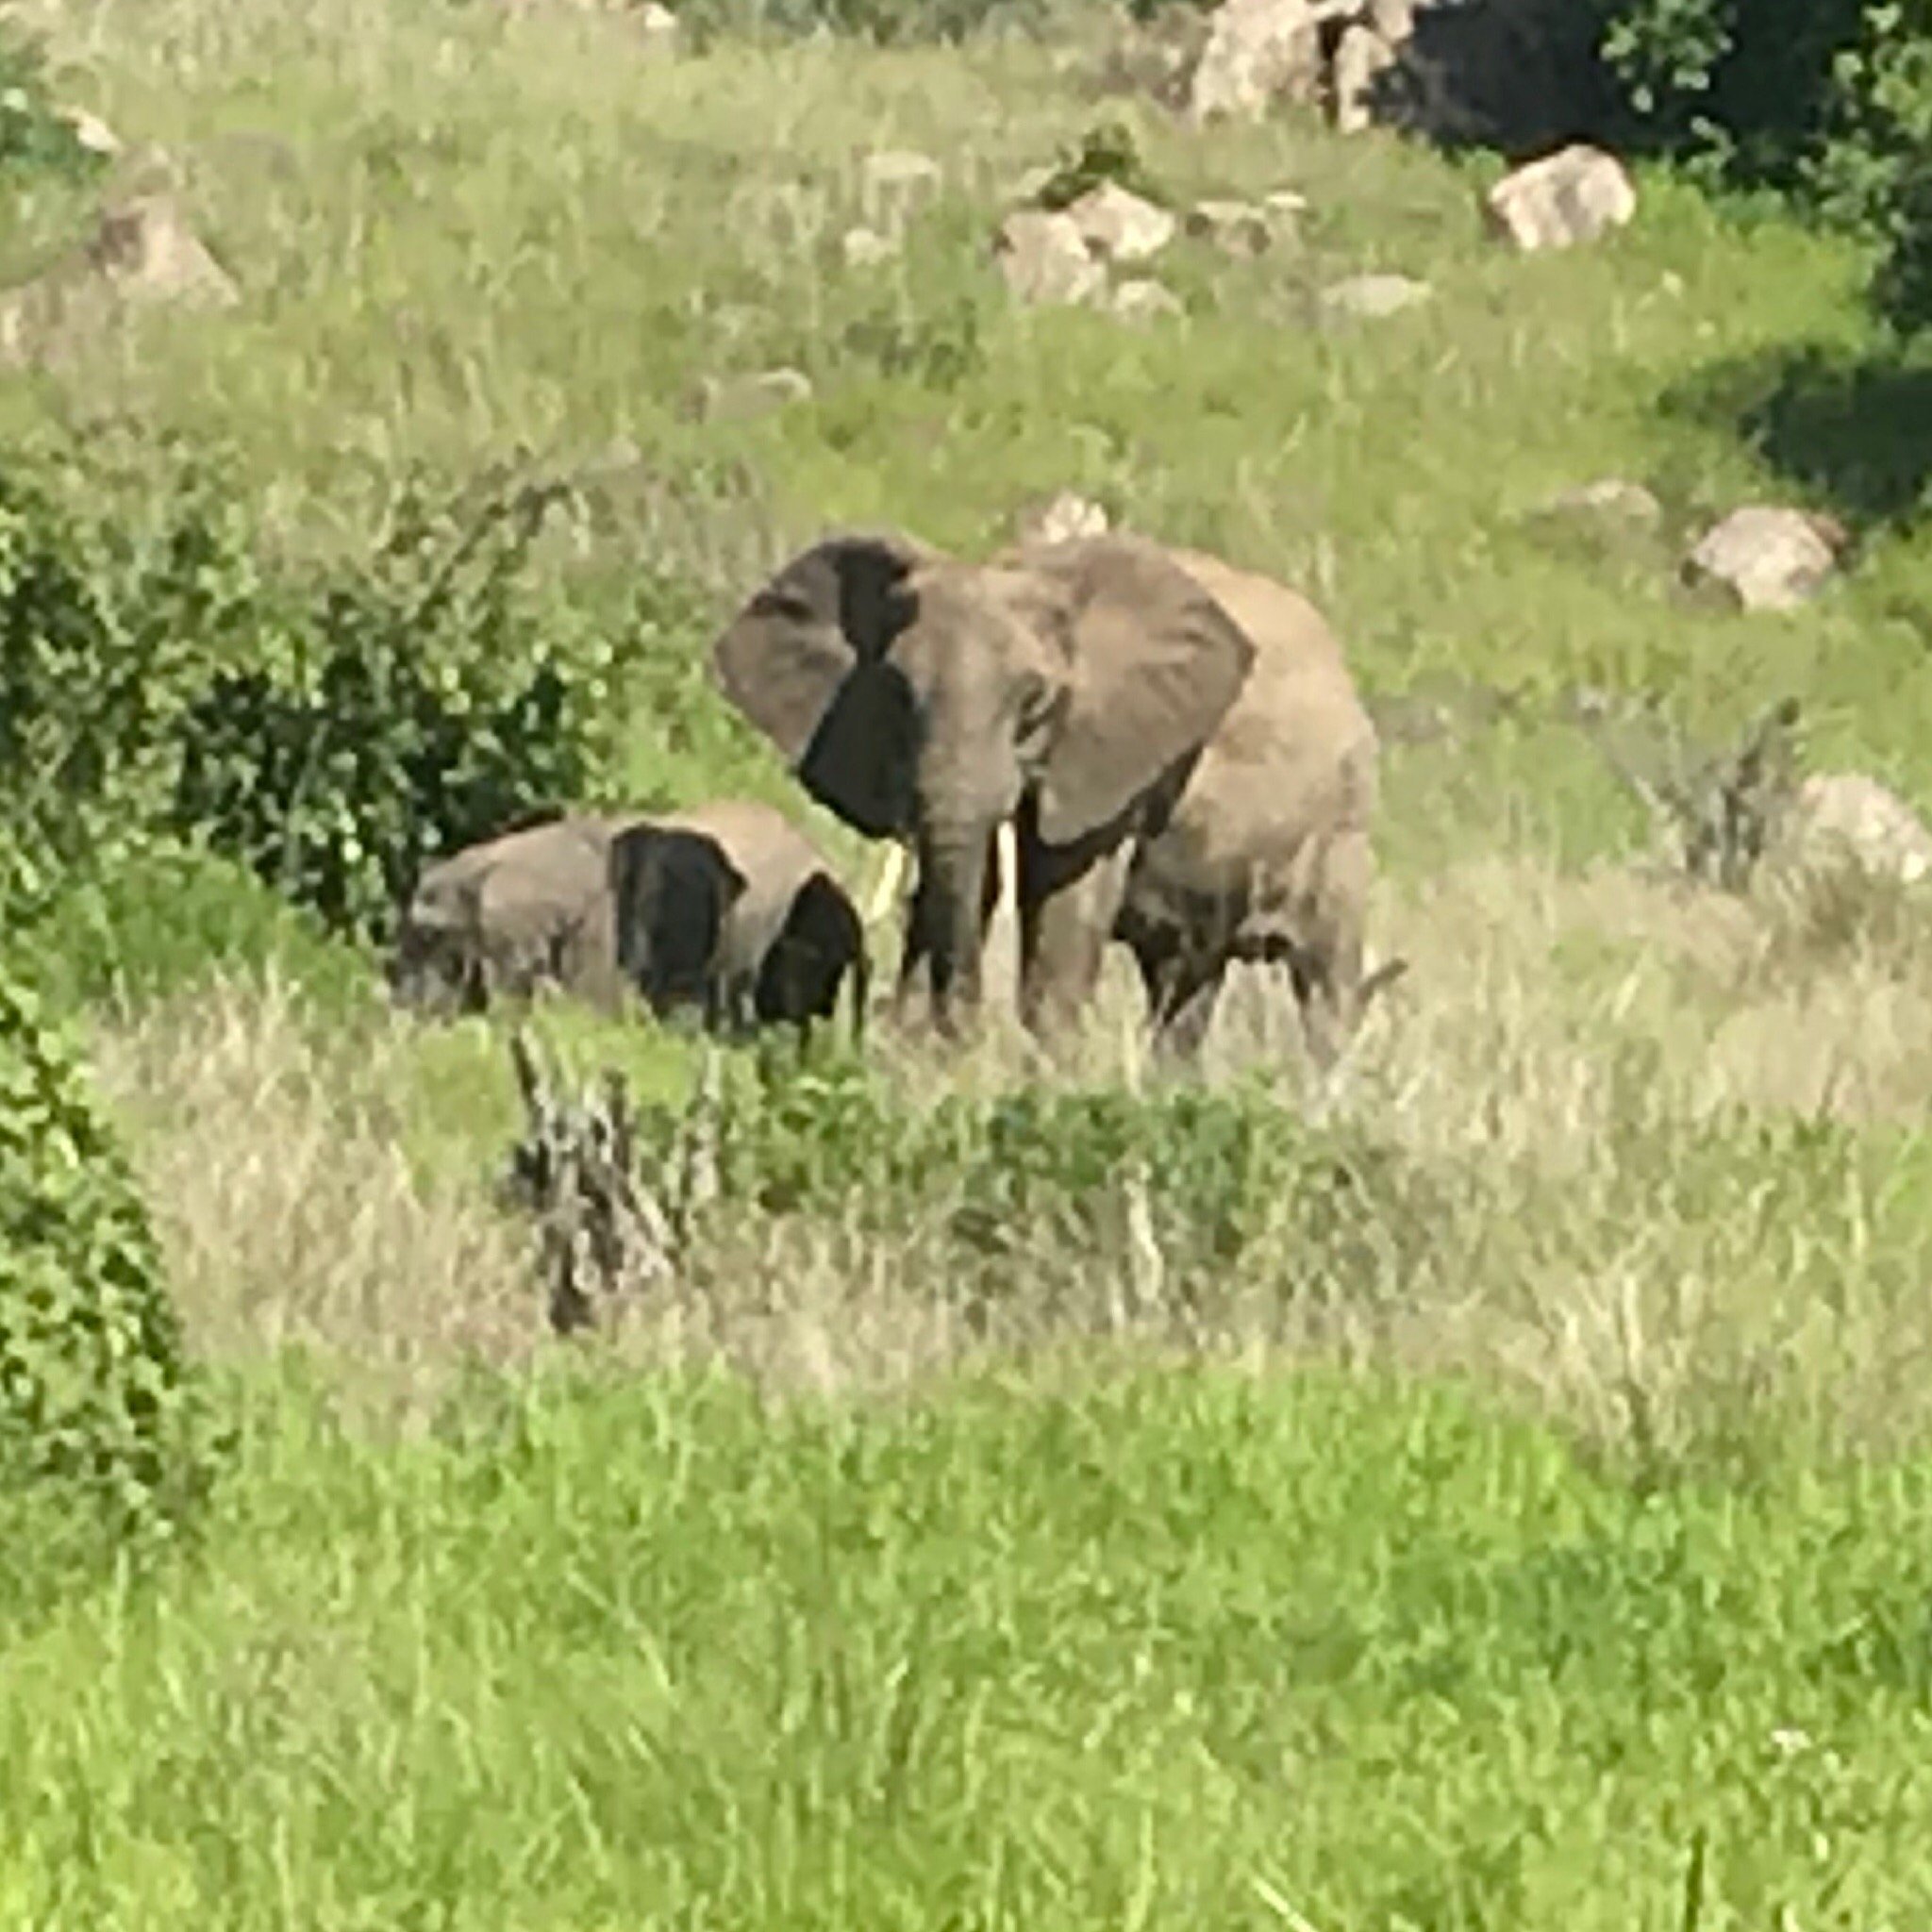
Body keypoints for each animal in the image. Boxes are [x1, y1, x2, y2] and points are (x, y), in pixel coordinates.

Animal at [708, 527, 1405, 1067]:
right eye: (899, 691)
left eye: (1035, 701)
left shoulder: (1111, 753)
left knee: (1324, 990)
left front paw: (1047, 1079)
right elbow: (969, 882)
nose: (961, 1029)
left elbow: (1065, 901)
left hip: (1341, 830)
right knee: (1184, 988)